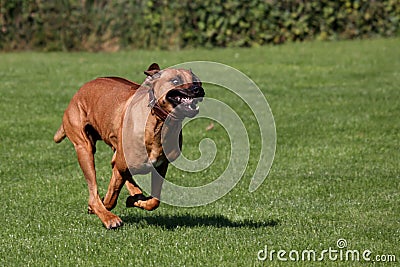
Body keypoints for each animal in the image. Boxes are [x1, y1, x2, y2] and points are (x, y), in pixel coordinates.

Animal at [53, 63, 205, 229]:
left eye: (196, 80)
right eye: (176, 81)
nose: (198, 89)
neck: (159, 122)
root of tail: (79, 92)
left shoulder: (160, 166)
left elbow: (155, 200)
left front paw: (137, 200)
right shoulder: (121, 167)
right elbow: (111, 198)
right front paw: (107, 212)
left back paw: (135, 195)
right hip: (84, 148)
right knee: (94, 192)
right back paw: (106, 214)